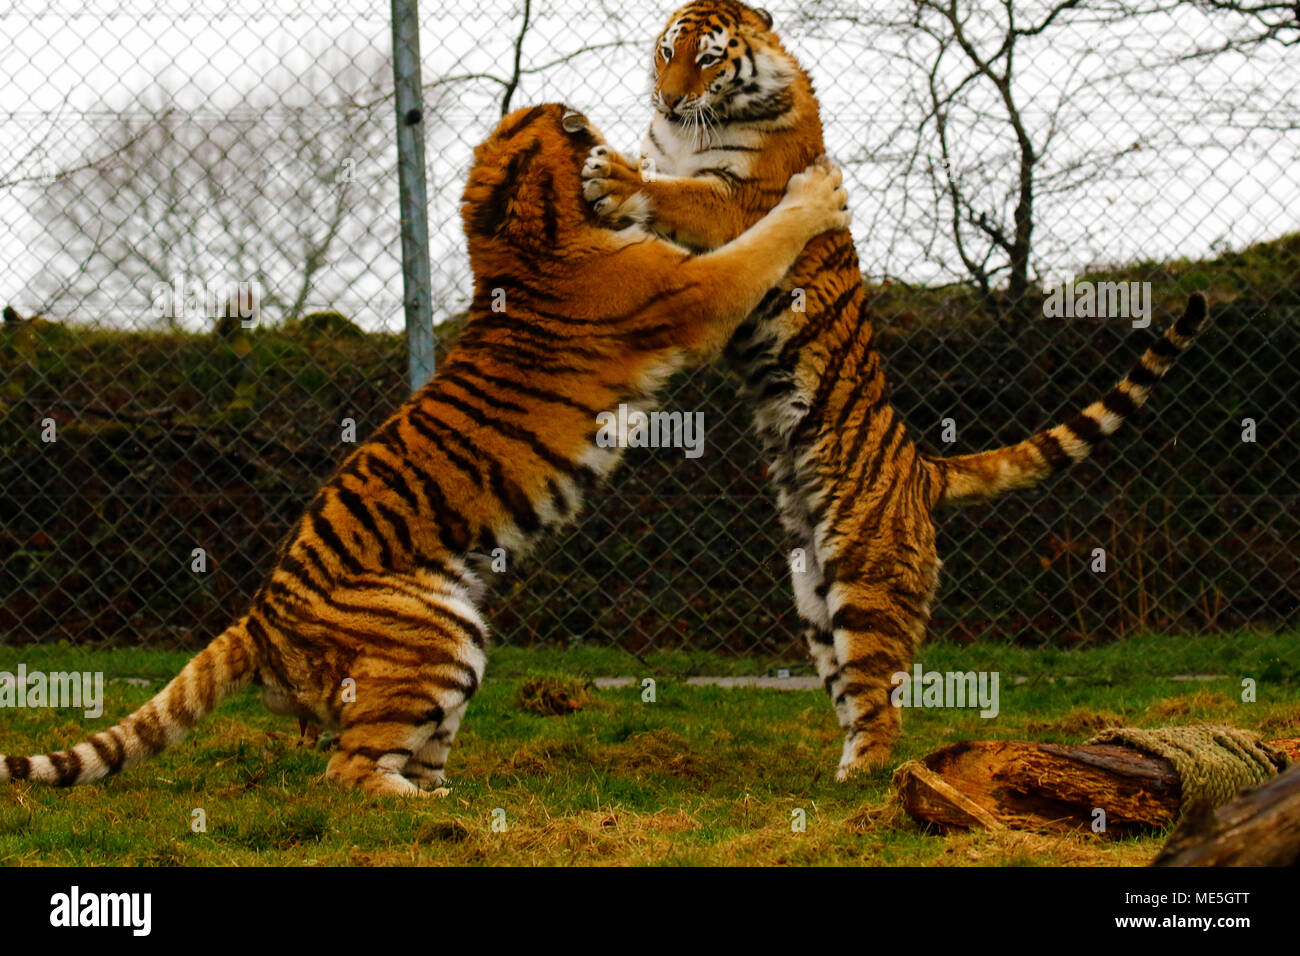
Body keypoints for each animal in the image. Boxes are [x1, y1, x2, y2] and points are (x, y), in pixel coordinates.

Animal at [0, 102, 850, 796]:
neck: (515, 231)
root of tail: (256, 619)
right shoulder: (695, 293)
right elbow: (759, 243)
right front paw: (815, 193)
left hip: (456, 646)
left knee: (407, 750)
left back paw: (455, 797)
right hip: (438, 635)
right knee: (346, 772)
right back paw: (422, 808)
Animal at [581, 0, 1210, 779]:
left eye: (706, 59)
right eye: (667, 52)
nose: (666, 99)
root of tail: (921, 465)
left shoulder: (736, 203)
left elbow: (677, 193)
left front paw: (612, 177)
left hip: (865, 575)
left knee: (882, 694)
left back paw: (864, 774)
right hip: (812, 591)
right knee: (857, 688)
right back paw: (846, 768)